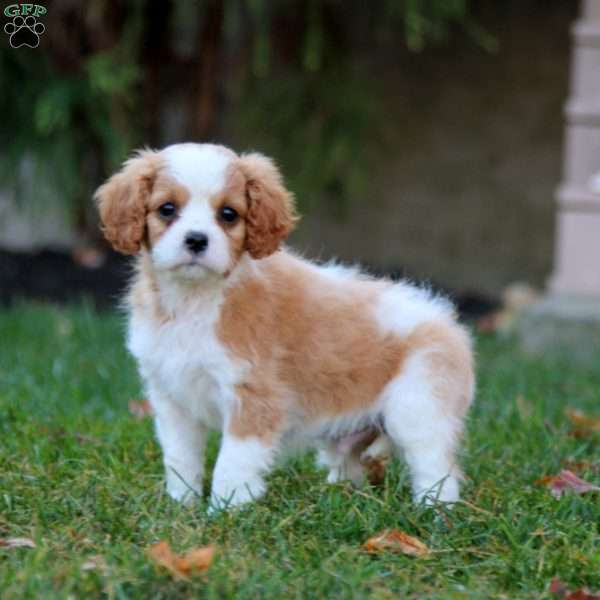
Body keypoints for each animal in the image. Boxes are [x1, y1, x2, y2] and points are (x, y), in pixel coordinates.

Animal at [96, 143, 476, 508]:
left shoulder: (253, 400)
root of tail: (448, 321)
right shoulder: (172, 401)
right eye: (166, 209)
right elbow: (180, 460)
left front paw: (224, 514)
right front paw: (181, 507)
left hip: (419, 410)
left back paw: (433, 514)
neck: (195, 300)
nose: (196, 240)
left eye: (228, 214)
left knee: (438, 471)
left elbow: (231, 467)